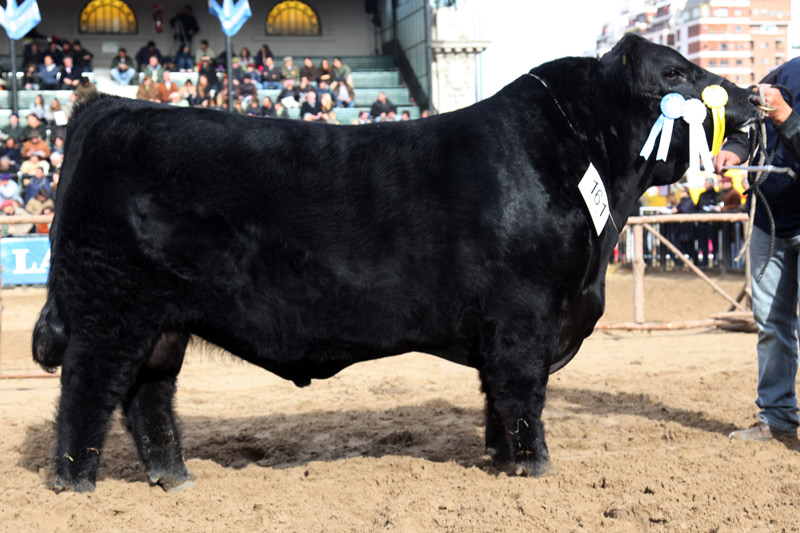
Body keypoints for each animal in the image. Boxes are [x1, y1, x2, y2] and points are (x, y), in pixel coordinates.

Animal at [31, 34, 756, 490]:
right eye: (674, 75)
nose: (748, 98)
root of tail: (110, 106)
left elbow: (497, 400)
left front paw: (502, 463)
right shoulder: (523, 313)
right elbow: (522, 394)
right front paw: (535, 469)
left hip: (163, 323)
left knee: (147, 398)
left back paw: (174, 479)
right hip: (112, 310)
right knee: (87, 391)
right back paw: (76, 486)